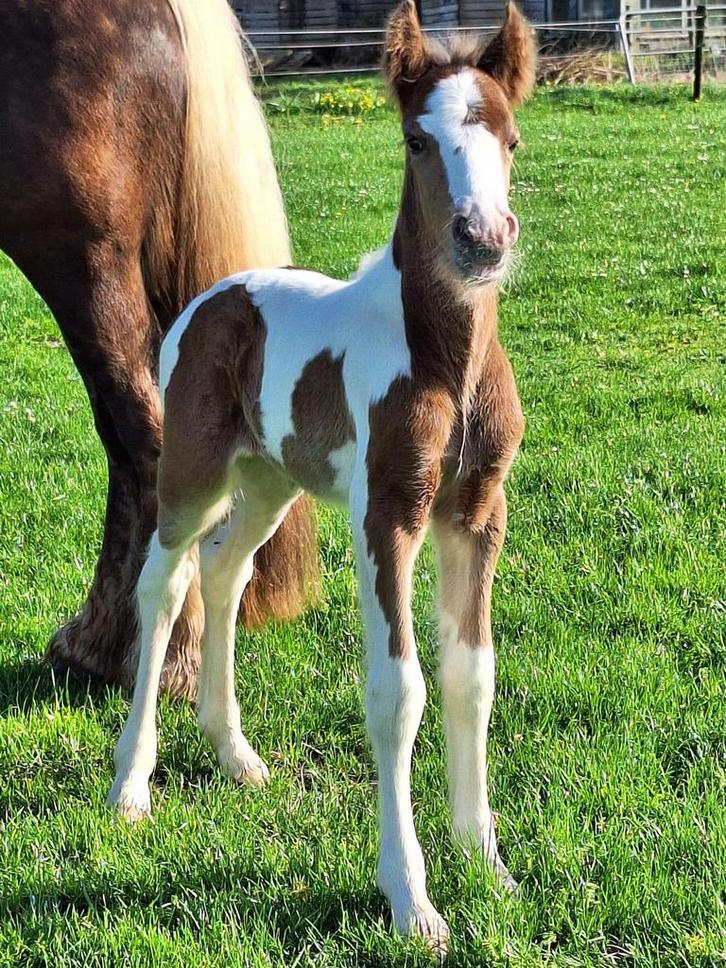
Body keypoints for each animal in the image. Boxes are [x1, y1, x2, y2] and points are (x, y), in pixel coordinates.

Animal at [107, 0, 536, 949]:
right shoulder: (388, 514)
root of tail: (211, 297)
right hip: (193, 471)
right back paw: (130, 782)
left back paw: (234, 753)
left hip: (273, 480)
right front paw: (412, 899)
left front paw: (487, 864)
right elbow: (399, 690)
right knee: (166, 579)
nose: (483, 241)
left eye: (512, 138)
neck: (446, 362)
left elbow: (472, 675)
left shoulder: (476, 514)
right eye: (417, 140)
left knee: (226, 570)